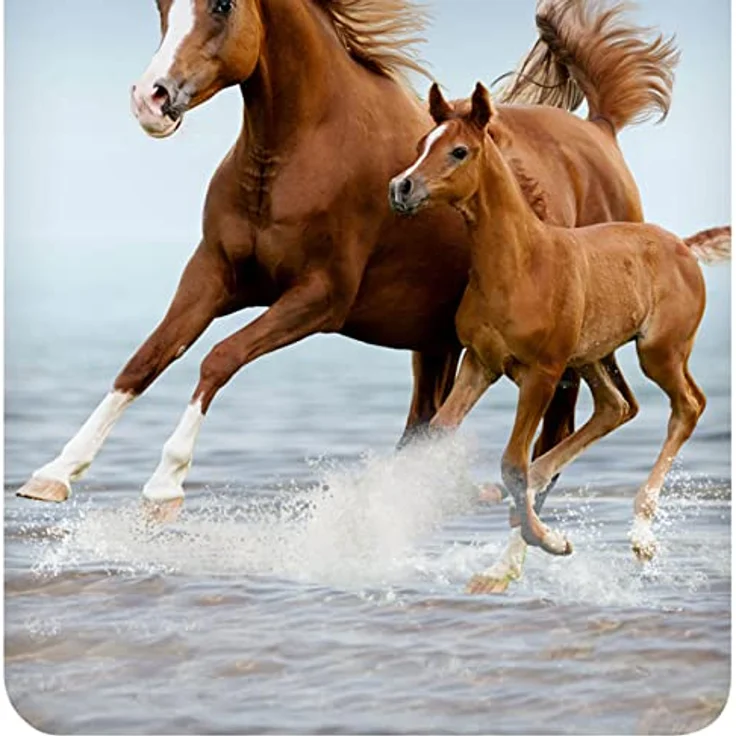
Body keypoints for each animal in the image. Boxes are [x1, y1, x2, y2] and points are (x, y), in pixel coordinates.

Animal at [15, 0, 717, 530]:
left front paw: (165, 485)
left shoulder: (319, 298)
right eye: (163, 6)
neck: (298, 151)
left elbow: (219, 358)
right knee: (431, 425)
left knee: (565, 423)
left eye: (221, 6)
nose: (151, 99)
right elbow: (146, 359)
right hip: (436, 344)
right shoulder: (212, 276)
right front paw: (53, 474)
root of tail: (600, 131)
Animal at [389, 81, 729, 594]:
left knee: (688, 405)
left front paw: (549, 540)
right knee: (616, 407)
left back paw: (641, 535)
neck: (520, 264)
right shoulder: (480, 363)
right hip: (590, 357)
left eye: (459, 151)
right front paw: (505, 510)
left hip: (658, 352)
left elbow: (511, 461)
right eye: (419, 145)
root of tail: (684, 248)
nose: (401, 188)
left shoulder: (542, 373)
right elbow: (441, 432)